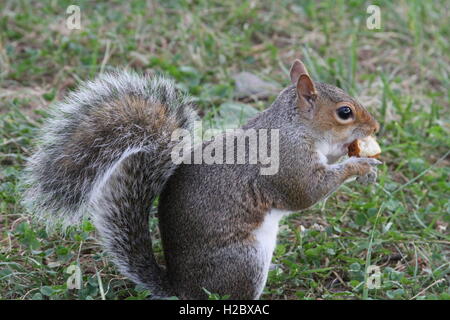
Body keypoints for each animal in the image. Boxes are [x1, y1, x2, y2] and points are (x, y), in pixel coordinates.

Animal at [22, 60, 382, 300]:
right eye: (345, 112)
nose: (375, 127)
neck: (296, 127)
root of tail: (181, 289)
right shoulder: (287, 163)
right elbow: (306, 194)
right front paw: (359, 164)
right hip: (245, 261)